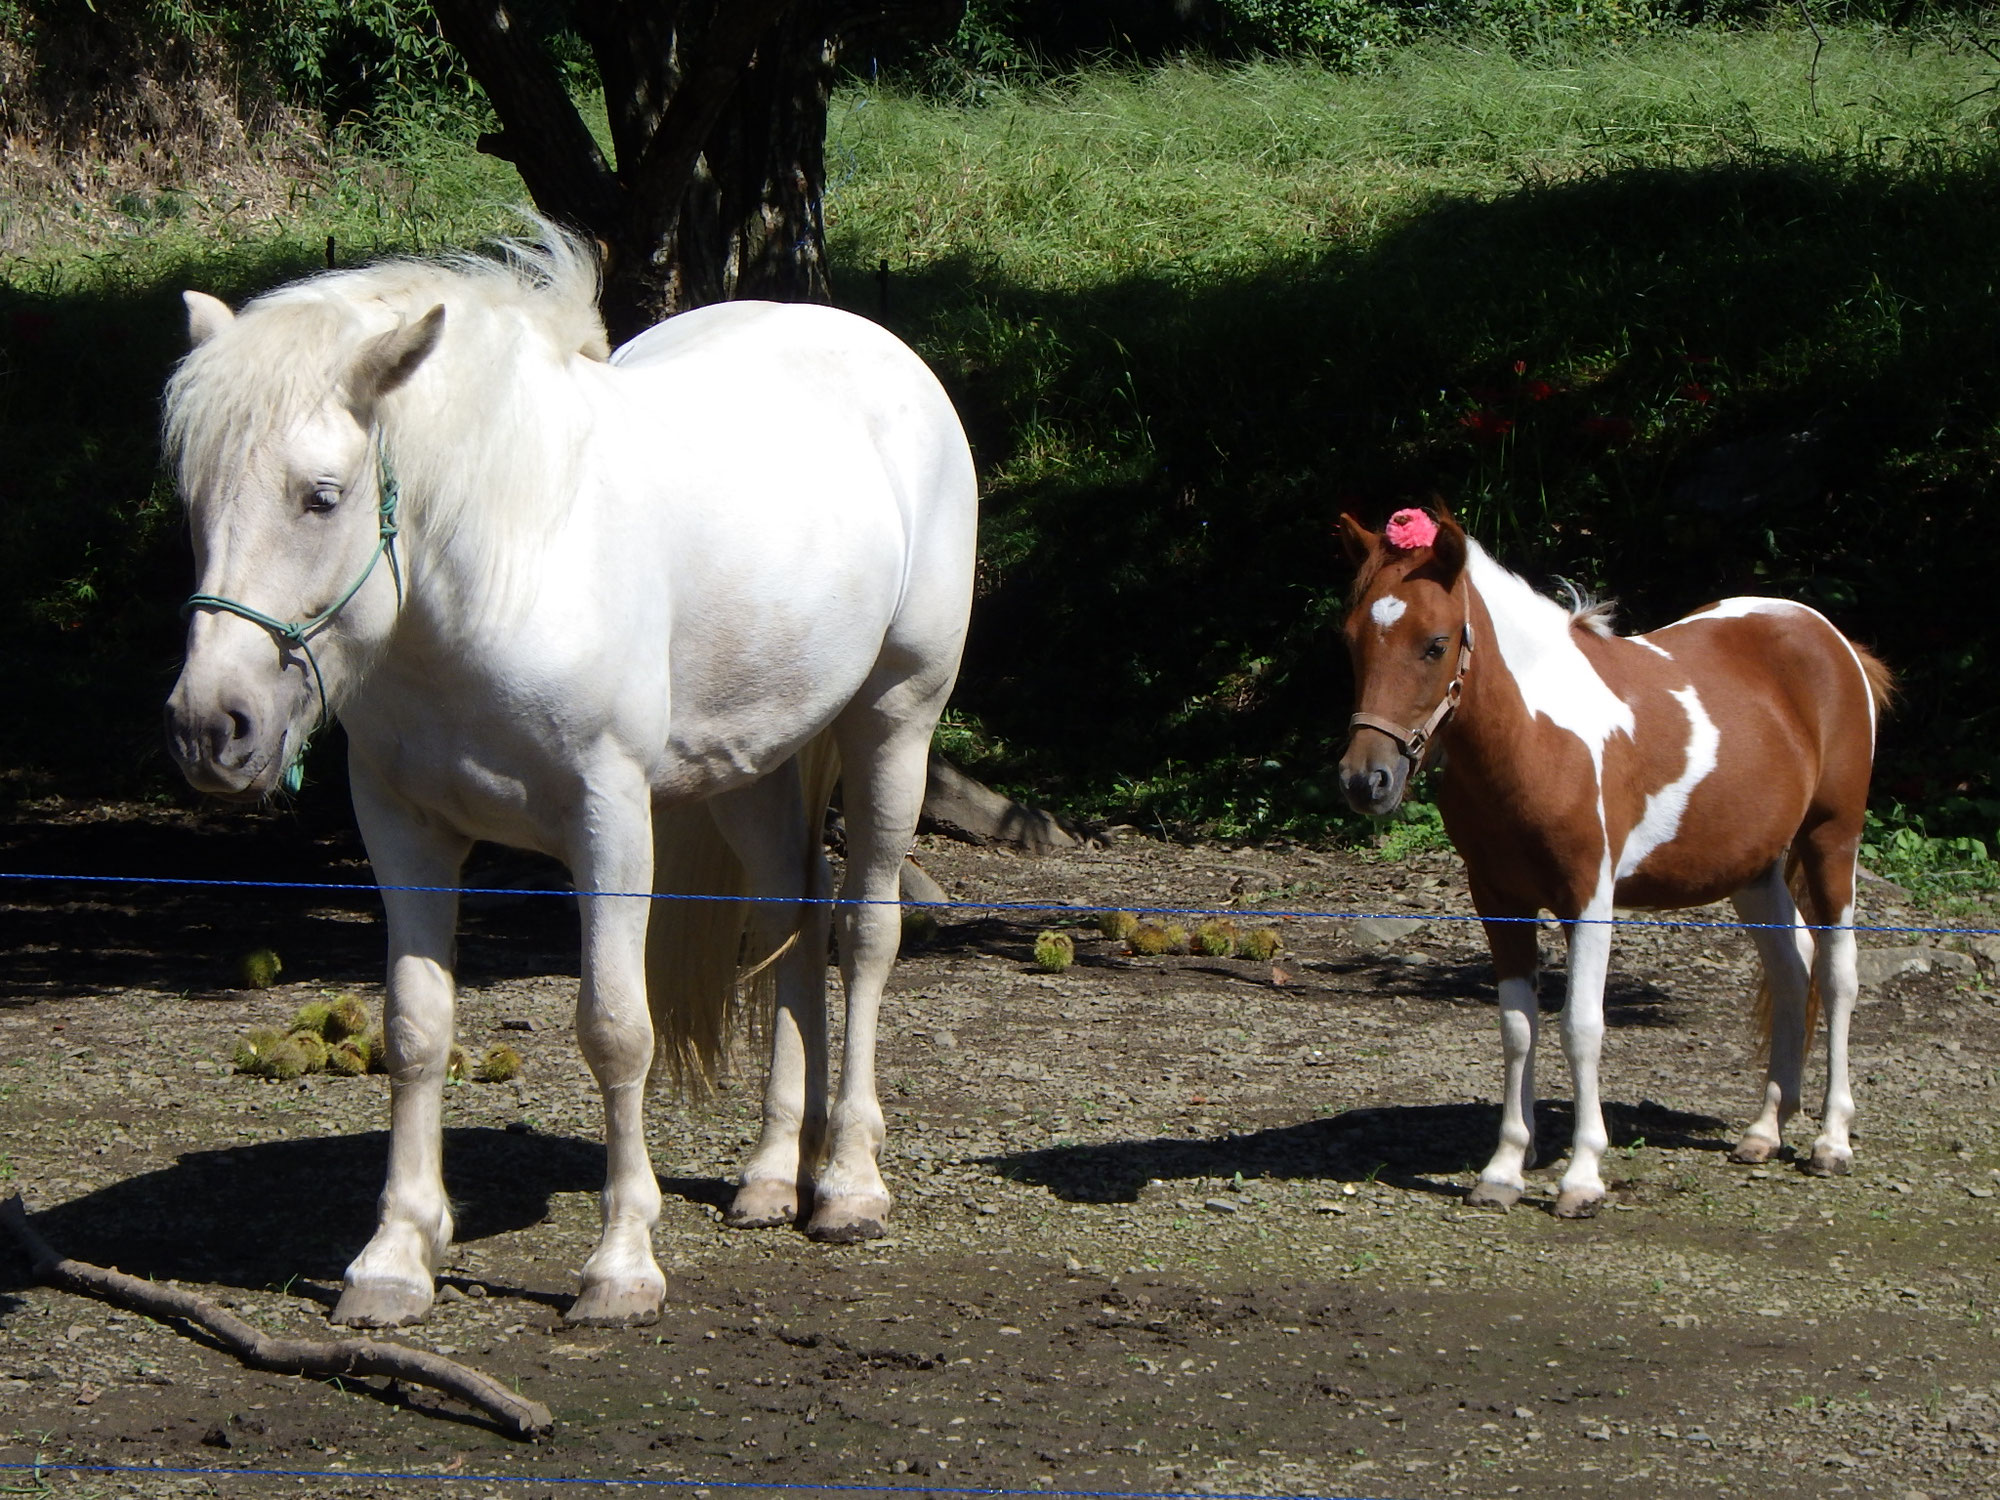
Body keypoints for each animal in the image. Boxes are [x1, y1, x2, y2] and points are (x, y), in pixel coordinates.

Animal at [163, 230, 977, 1326]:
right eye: (195, 500)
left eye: (319, 497)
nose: (211, 726)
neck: (505, 563)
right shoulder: (404, 829)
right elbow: (415, 1030)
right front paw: (393, 1259)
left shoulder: (609, 822)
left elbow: (615, 1029)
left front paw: (622, 1263)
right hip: (752, 771)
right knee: (791, 925)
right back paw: (773, 1175)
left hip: (893, 722)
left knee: (865, 932)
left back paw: (847, 1183)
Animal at [1337, 507, 1891, 1217]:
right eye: (1352, 641)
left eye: (1435, 643)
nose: (1365, 781)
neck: (1538, 735)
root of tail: (1833, 640)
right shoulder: (1499, 902)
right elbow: (1517, 1026)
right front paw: (1504, 1169)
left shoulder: (1589, 901)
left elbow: (1581, 1027)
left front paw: (1581, 1178)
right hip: (1753, 869)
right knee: (1792, 970)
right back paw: (1765, 1131)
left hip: (1830, 842)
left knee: (1839, 975)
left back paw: (1831, 1141)